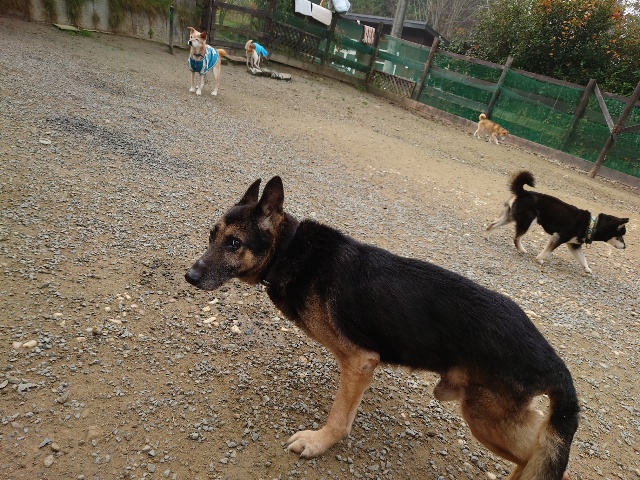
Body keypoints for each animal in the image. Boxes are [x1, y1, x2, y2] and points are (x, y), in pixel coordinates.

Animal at [185, 176, 579, 479]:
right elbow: (348, 410)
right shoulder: (361, 368)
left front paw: (318, 442)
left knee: (537, 457)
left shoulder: (359, 359)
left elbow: (338, 417)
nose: (190, 276)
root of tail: (555, 362)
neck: (290, 250)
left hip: (485, 416)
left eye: (234, 243)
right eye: (211, 235)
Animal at [487, 170, 628, 273]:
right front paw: (539, 260)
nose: (625, 247)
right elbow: (547, 251)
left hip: (511, 217)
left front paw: (587, 269)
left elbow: (583, 259)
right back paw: (522, 250)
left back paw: (487, 236)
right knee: (516, 238)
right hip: (528, 222)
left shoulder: (574, 245)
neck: (591, 226)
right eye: (621, 236)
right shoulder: (558, 237)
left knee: (492, 225)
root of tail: (524, 192)